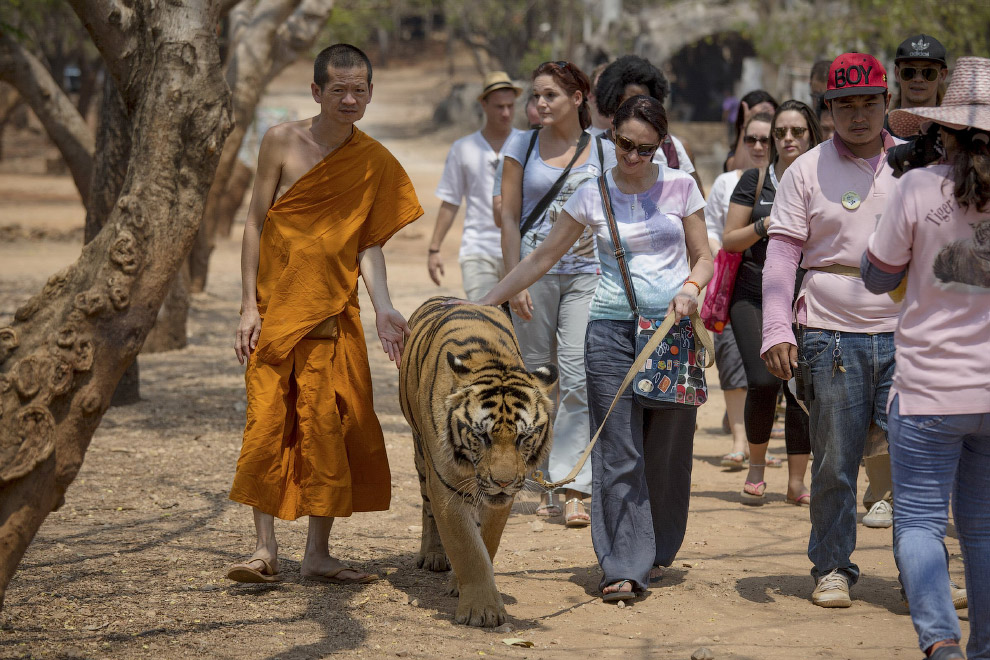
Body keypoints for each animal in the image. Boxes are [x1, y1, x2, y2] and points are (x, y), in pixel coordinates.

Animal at [402, 298, 560, 628]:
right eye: (482, 436)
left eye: (524, 437)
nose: (502, 482)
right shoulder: (445, 485)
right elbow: (466, 547)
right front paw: (482, 611)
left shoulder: (502, 498)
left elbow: (486, 541)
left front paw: (463, 587)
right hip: (421, 455)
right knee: (426, 506)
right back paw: (433, 555)